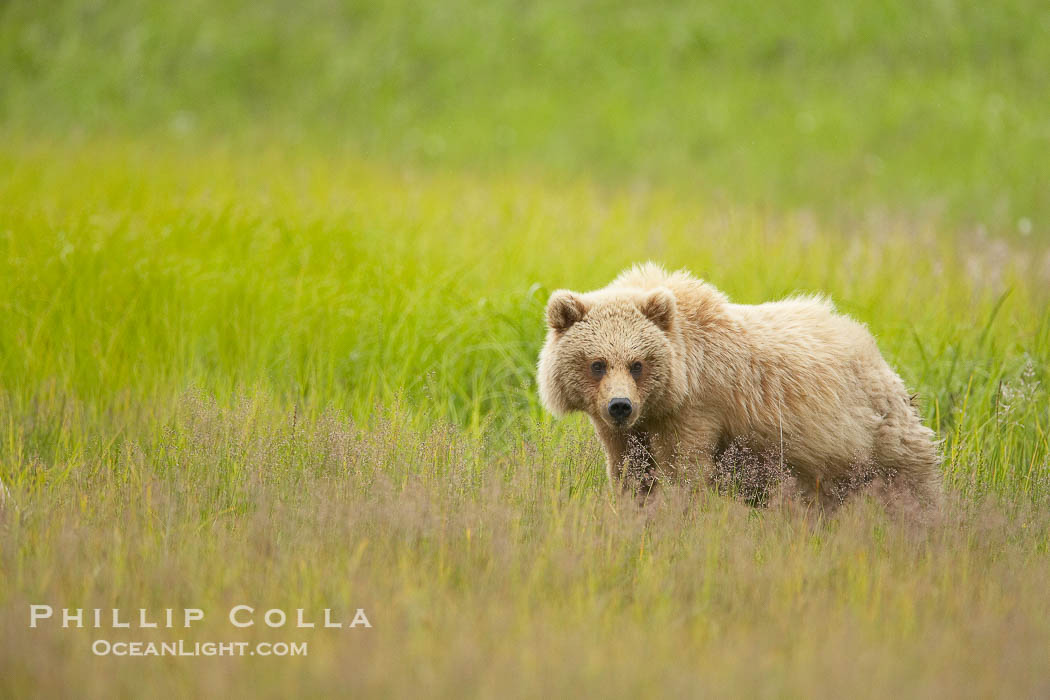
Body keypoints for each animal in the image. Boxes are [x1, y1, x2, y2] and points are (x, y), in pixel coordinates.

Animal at [536, 262, 943, 511]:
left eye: (638, 364)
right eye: (597, 364)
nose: (620, 405)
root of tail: (871, 346)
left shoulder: (697, 410)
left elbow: (683, 470)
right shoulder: (626, 429)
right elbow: (629, 472)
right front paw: (634, 510)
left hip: (876, 431)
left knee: (914, 484)